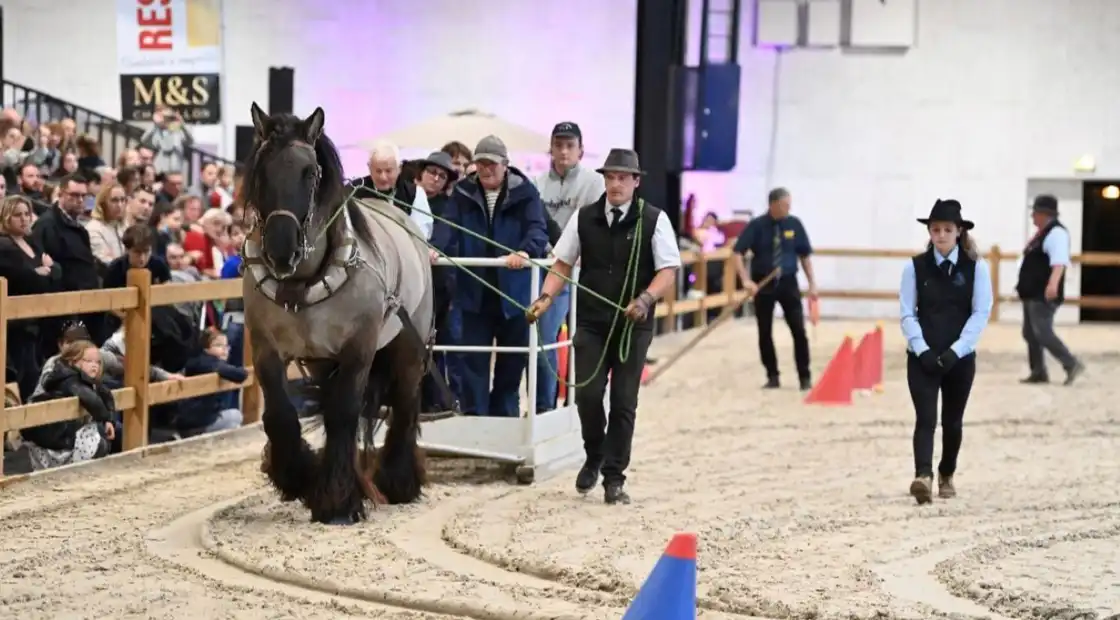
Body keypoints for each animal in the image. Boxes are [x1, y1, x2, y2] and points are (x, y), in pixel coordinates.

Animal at [241, 102, 432, 524]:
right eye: (261, 172)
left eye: (310, 172)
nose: (281, 250)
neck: (302, 282)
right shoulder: (265, 348)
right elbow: (279, 414)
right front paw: (296, 476)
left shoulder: (358, 349)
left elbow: (344, 413)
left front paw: (338, 502)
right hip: (320, 360)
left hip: (409, 346)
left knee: (407, 402)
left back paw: (398, 481)